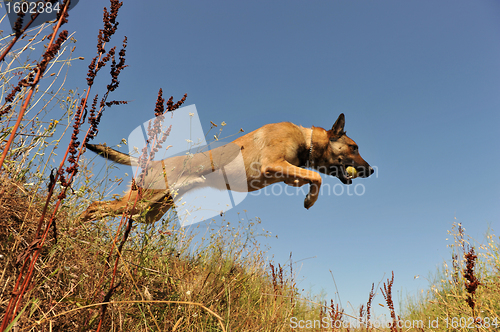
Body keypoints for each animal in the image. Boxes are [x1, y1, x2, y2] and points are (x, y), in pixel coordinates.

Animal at [81, 113, 372, 223]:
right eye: (354, 147)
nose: (370, 170)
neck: (307, 140)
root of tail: (154, 162)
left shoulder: (287, 172)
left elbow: (309, 177)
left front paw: (308, 195)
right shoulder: (272, 164)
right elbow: (316, 178)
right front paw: (310, 201)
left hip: (148, 212)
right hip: (141, 201)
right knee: (94, 207)